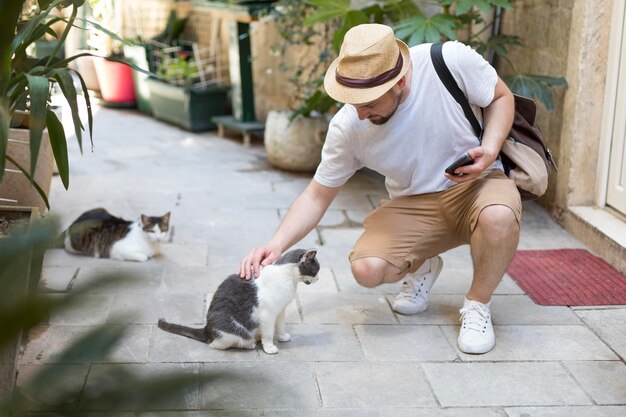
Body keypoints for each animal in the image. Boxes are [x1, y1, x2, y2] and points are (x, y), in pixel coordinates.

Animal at [158, 249, 320, 352]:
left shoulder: (280, 310)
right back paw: (250, 344)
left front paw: (282, 336)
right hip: (230, 329)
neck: (288, 278)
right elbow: (268, 332)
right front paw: (269, 347)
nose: (318, 279)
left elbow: (280, 325)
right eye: (316, 270)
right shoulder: (268, 315)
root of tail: (207, 329)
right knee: (217, 344)